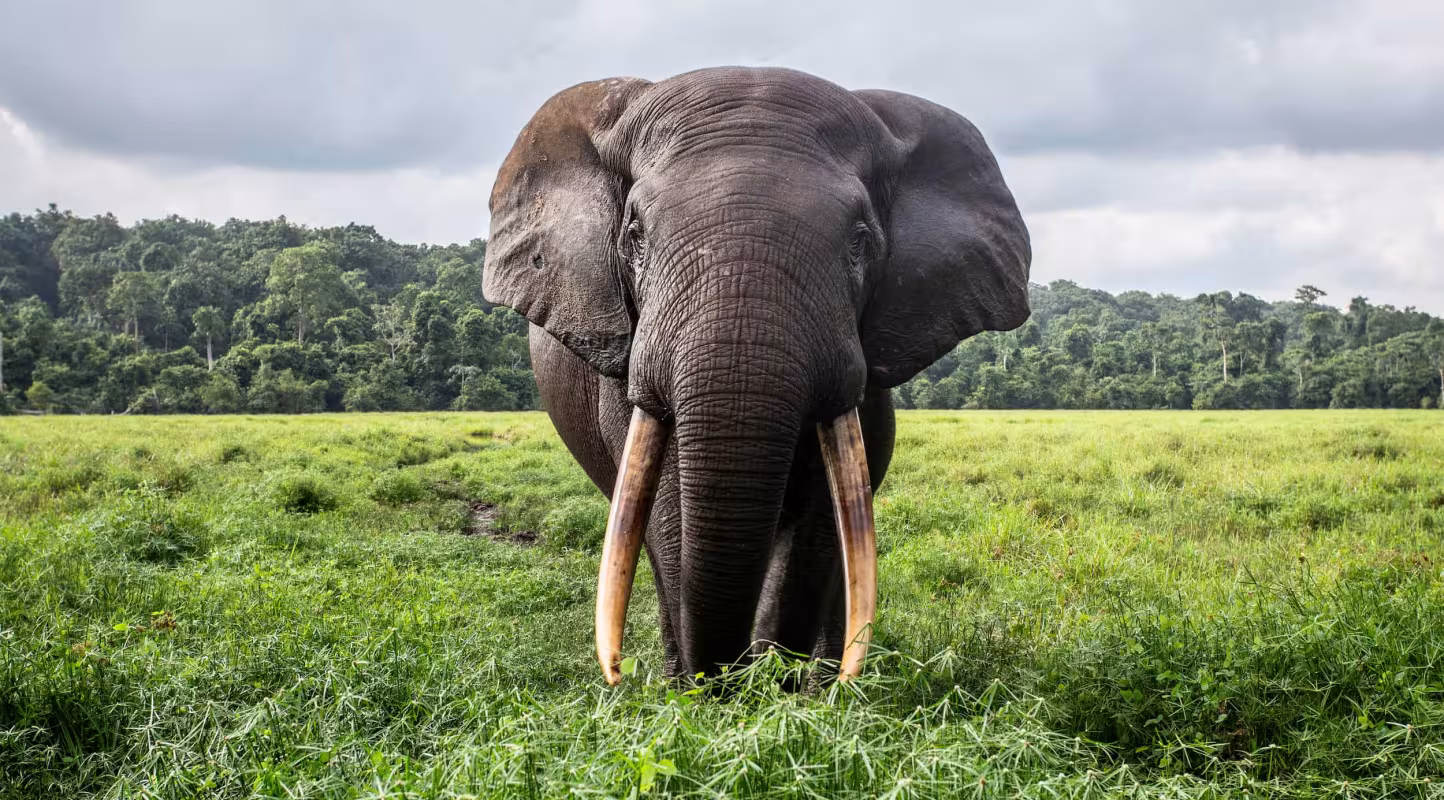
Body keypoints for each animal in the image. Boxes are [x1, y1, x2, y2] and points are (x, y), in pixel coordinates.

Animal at [482, 66, 1030, 684]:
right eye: (635, 235)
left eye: (860, 240)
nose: (729, 680)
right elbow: (668, 505)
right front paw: (703, 694)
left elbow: (823, 511)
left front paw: (779, 690)